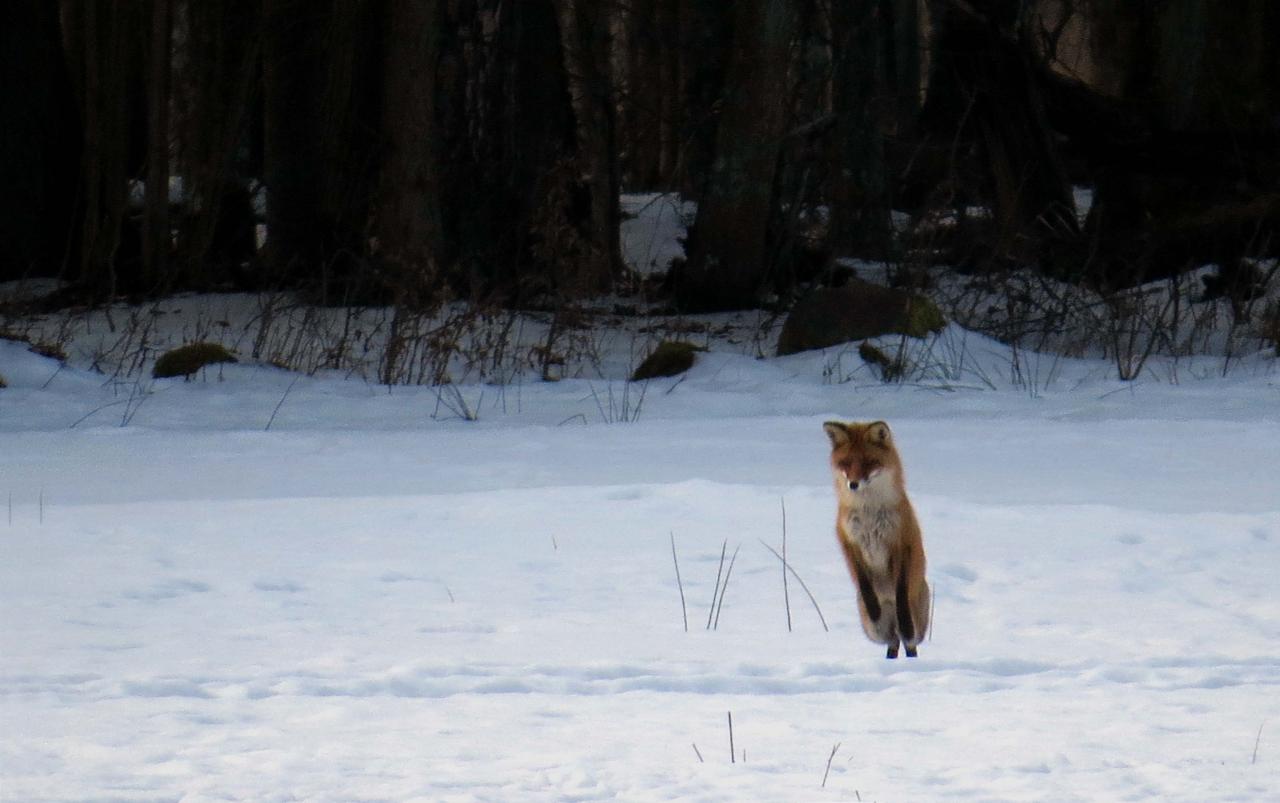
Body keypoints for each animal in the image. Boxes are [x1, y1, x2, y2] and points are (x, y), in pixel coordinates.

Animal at [819, 420, 931, 660]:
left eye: (869, 463)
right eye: (845, 463)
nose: (853, 484)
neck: (869, 512)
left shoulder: (902, 542)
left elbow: (901, 590)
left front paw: (901, 614)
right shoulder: (849, 542)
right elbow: (864, 582)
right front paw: (874, 609)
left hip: (918, 624)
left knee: (907, 641)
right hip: (874, 630)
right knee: (892, 641)